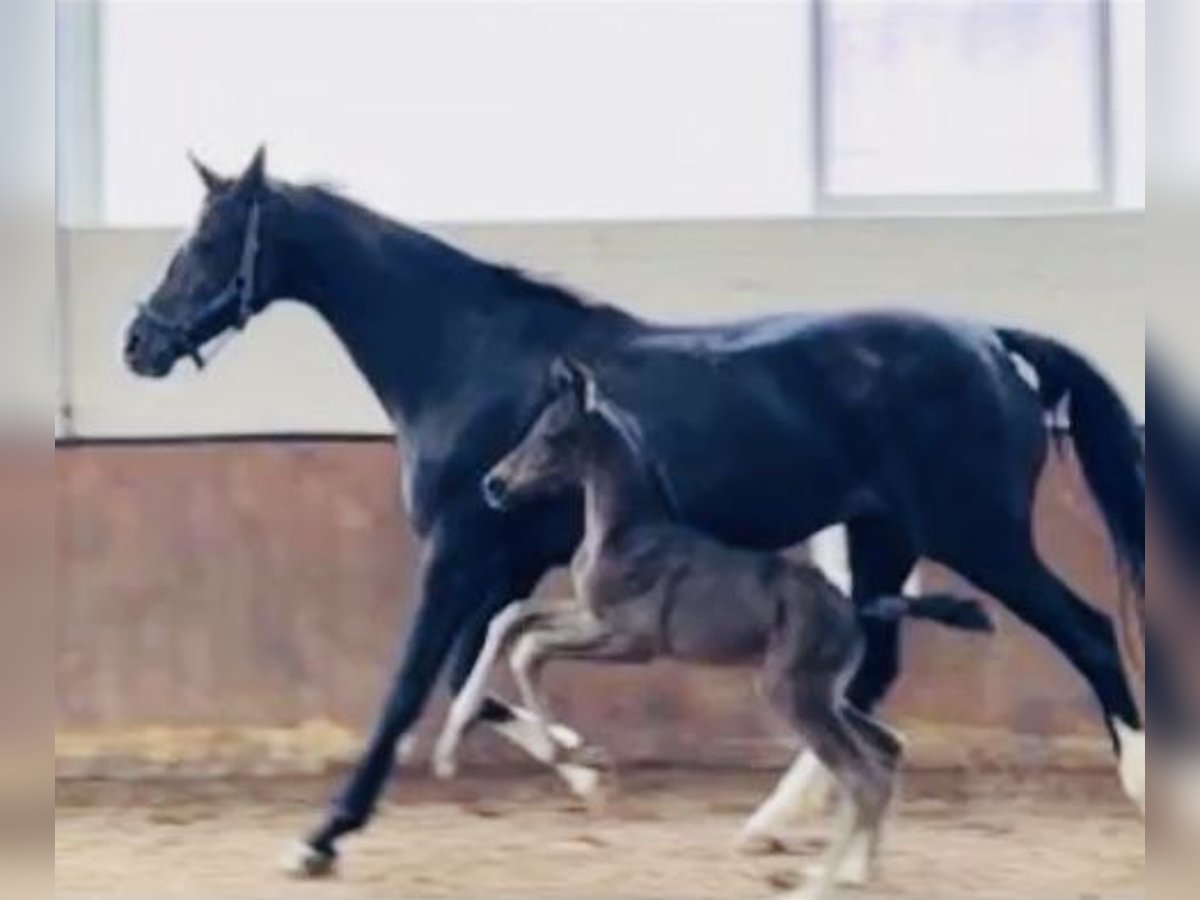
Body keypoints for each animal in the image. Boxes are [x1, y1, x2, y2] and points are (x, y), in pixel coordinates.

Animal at [126, 151, 1147, 878]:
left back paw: (1139, 790)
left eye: (210, 243)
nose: (139, 343)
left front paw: (322, 836)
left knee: (1091, 632)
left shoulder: (460, 551)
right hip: (884, 538)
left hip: (978, 536)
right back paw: (777, 825)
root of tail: (992, 341)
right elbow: (473, 664)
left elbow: (410, 683)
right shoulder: (503, 557)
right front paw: (584, 766)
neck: (468, 357)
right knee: (873, 672)